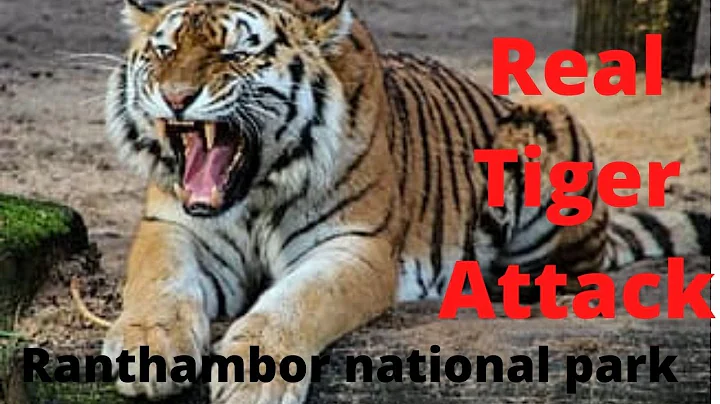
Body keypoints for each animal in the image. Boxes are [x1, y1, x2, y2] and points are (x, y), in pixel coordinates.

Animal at [101, 0, 710, 402]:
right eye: (164, 50)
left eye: (234, 53)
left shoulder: (355, 247)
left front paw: (252, 378)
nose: (176, 97)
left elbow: (296, 303)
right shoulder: (175, 226)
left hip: (548, 124)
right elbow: (157, 283)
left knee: (571, 269)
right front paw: (146, 346)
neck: (256, 191)